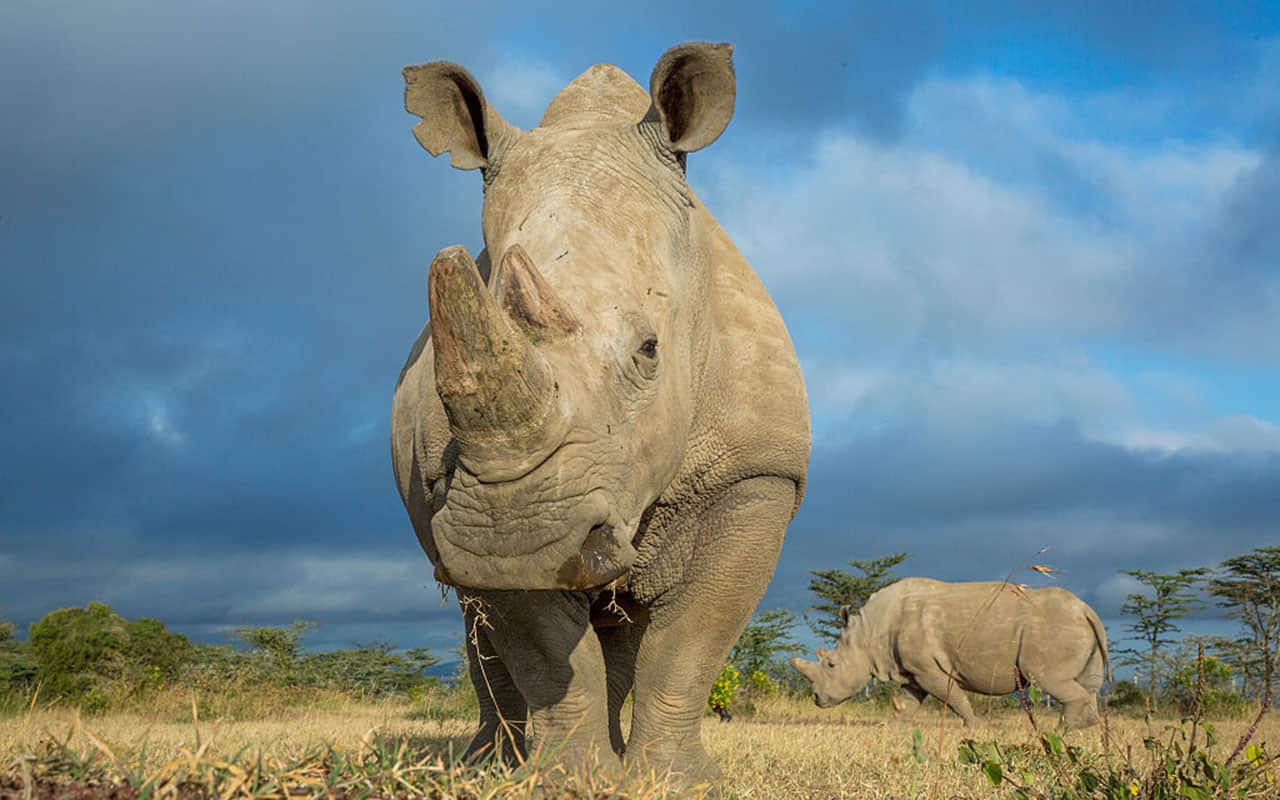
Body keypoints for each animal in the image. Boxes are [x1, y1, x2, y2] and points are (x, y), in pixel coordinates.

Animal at [390, 42, 810, 782]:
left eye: (649, 350)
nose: (511, 539)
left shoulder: (759, 472)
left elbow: (691, 644)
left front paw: (673, 782)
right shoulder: (473, 500)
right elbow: (548, 653)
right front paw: (568, 780)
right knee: (483, 625)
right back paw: (489, 765)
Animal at [791, 578, 1110, 729]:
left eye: (831, 664)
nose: (816, 698)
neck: (869, 632)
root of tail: (1086, 609)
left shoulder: (928, 669)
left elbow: (953, 697)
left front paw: (973, 727)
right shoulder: (913, 671)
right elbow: (909, 703)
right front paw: (892, 727)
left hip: (1051, 629)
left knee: (1050, 679)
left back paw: (1063, 729)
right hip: (1073, 625)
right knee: (1089, 685)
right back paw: (1084, 728)